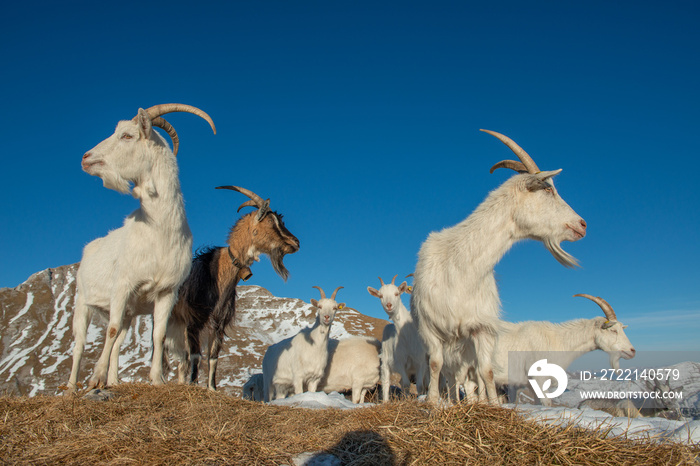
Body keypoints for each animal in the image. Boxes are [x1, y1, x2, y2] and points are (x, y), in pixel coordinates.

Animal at [69, 104, 216, 392]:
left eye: (127, 135)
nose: (85, 157)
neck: (160, 231)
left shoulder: (167, 292)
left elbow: (158, 335)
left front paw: (157, 379)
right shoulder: (122, 285)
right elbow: (111, 330)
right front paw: (95, 378)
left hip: (129, 311)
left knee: (118, 342)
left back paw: (113, 381)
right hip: (82, 302)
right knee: (80, 344)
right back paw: (71, 387)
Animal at [169, 186, 300, 390]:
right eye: (272, 222)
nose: (296, 242)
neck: (219, 273)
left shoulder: (218, 324)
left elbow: (213, 358)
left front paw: (212, 389)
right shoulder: (194, 321)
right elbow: (196, 356)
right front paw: (194, 385)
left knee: (182, 359)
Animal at [366, 274, 426, 402]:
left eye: (396, 293)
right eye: (380, 296)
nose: (389, 305)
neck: (408, 336)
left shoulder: (420, 361)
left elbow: (419, 385)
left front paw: (420, 398)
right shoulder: (400, 362)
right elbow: (407, 384)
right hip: (385, 362)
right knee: (387, 382)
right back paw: (385, 401)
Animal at [412, 130, 588, 404]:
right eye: (548, 189)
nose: (582, 224)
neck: (462, 268)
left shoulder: (481, 328)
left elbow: (486, 371)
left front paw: (492, 405)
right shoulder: (430, 327)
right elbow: (435, 364)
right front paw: (432, 403)